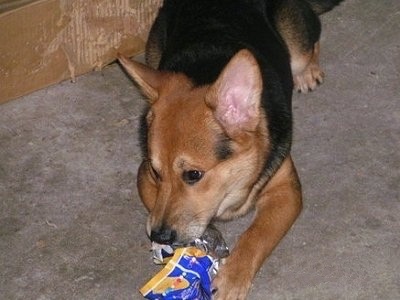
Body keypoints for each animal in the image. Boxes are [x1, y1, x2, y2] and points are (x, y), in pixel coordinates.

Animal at [117, 0, 342, 298]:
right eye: (156, 173)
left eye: (193, 175)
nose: (159, 236)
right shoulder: (144, 179)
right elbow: (156, 203)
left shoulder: (286, 190)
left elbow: (257, 235)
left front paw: (232, 277)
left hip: (297, 46)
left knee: (310, 45)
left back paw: (308, 72)